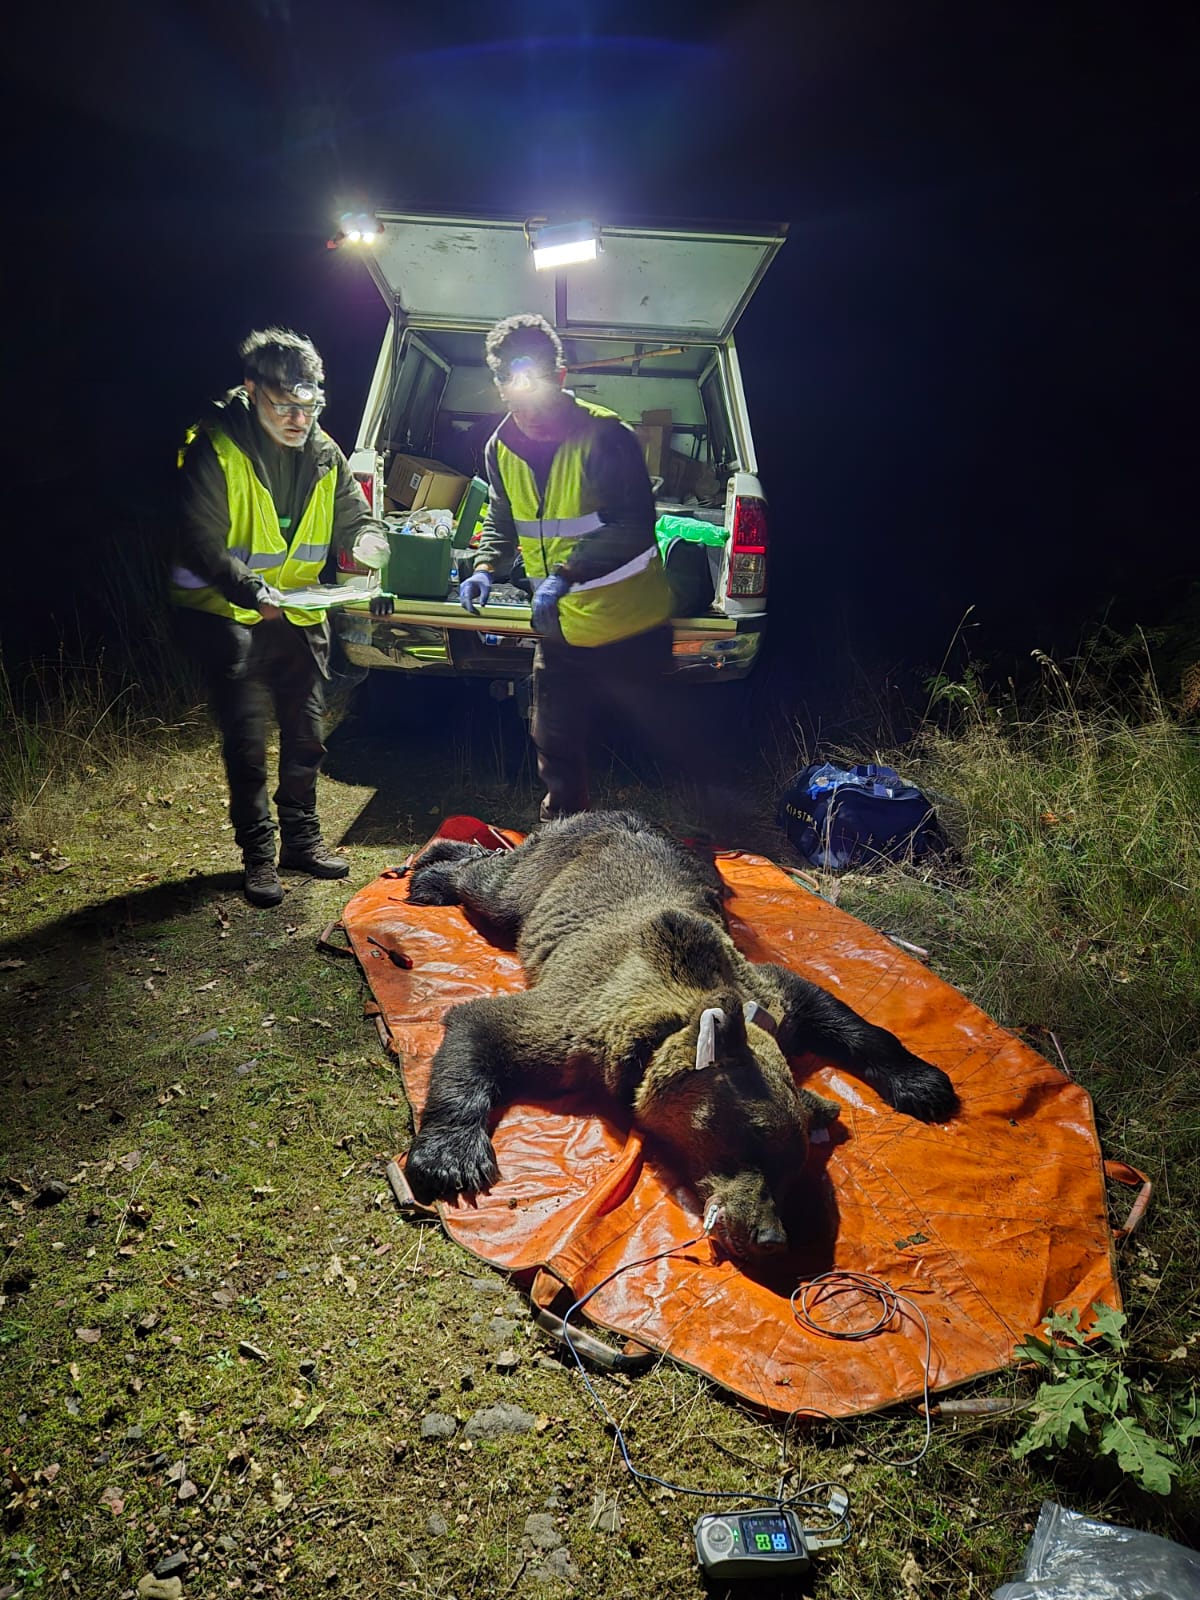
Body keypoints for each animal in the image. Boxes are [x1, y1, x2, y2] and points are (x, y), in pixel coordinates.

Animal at [403, 810, 958, 1262]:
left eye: (792, 1166)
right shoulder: (576, 1024)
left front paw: (923, 1084)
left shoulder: (772, 998)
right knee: (494, 884)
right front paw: (451, 1158)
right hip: (541, 877)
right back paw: (430, 870)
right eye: (750, 1141)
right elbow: (482, 1024)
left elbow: (840, 1014)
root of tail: (609, 809)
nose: (771, 1239)